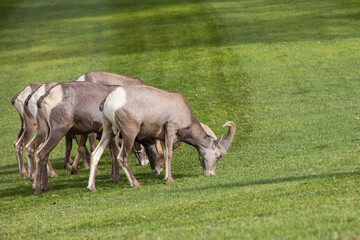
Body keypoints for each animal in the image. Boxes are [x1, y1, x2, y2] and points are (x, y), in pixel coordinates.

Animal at [86, 85, 235, 190]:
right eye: (219, 156)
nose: (210, 173)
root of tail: (109, 100)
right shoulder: (170, 129)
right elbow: (169, 154)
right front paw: (169, 179)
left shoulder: (163, 138)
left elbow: (164, 154)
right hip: (129, 134)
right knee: (122, 157)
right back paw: (135, 184)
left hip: (108, 131)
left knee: (95, 154)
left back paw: (91, 187)